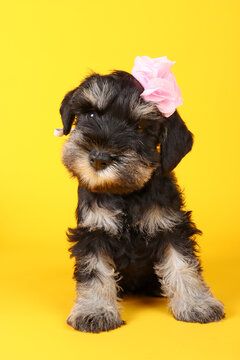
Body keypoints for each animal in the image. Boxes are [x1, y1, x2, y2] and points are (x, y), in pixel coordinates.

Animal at [57, 67, 224, 332]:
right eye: (91, 113)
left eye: (139, 127)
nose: (99, 159)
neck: (126, 193)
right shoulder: (93, 232)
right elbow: (95, 271)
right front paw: (94, 310)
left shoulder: (172, 227)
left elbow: (183, 265)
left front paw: (197, 304)